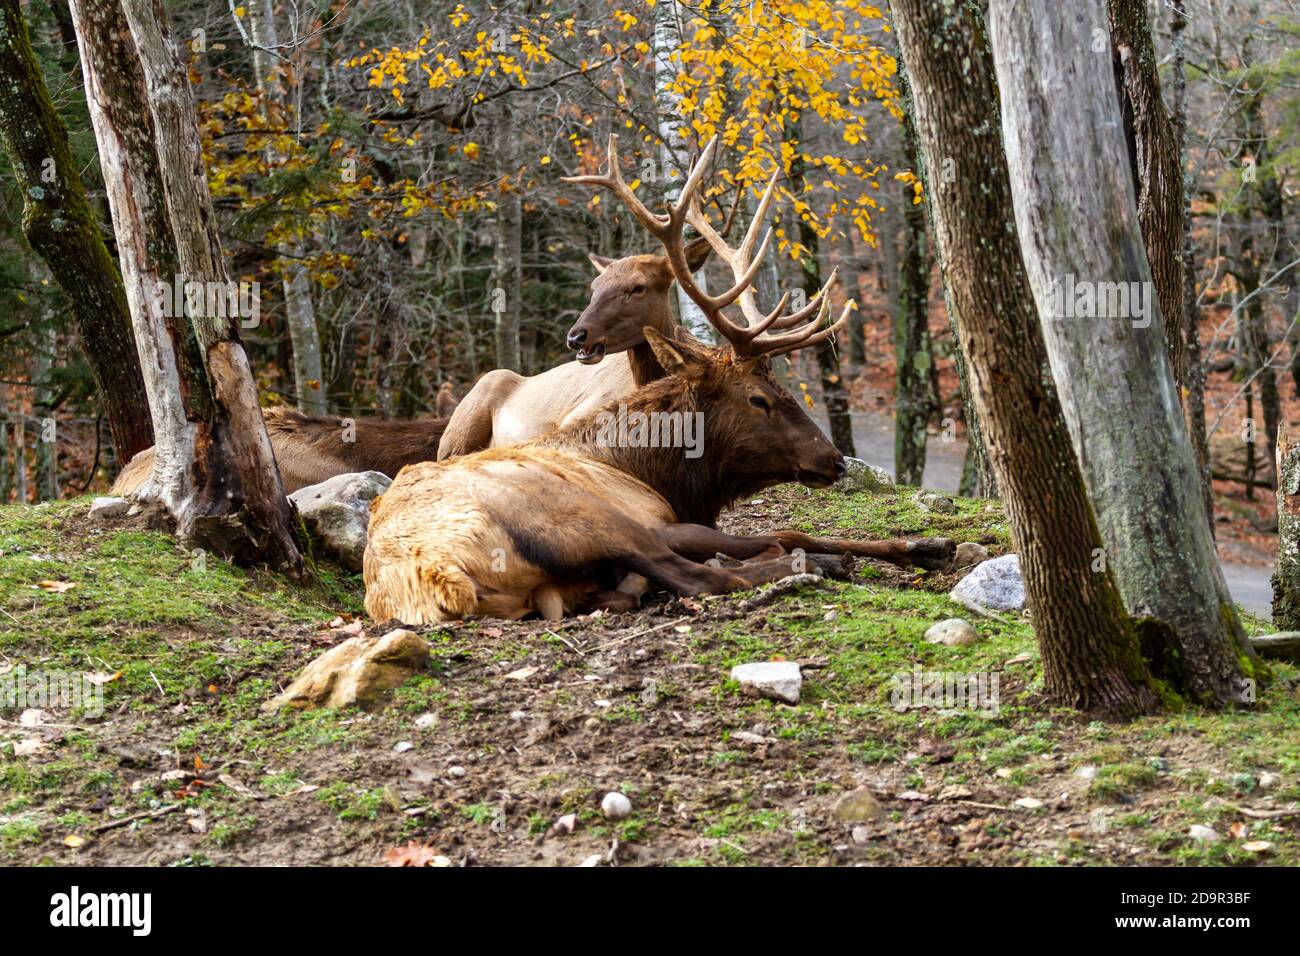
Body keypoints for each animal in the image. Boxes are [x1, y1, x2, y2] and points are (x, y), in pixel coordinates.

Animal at [363, 137, 954, 625]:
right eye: (760, 399)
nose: (832, 460)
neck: (661, 467)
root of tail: (438, 575)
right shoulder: (666, 518)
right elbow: (784, 532)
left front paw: (926, 547)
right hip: (586, 517)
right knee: (700, 576)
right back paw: (804, 566)